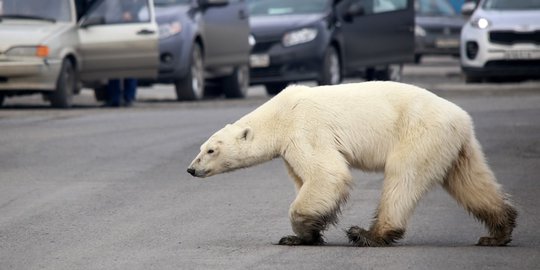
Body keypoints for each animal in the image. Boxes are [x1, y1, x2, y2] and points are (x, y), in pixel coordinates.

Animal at [188, 81, 516, 246]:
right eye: (202, 148)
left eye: (211, 150)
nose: (191, 169)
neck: (278, 114)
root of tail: (461, 118)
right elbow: (305, 178)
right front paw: (304, 235)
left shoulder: (305, 129)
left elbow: (327, 174)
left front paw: (300, 232)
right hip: (455, 145)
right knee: (471, 181)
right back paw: (498, 232)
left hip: (419, 133)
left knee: (402, 177)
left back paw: (369, 234)